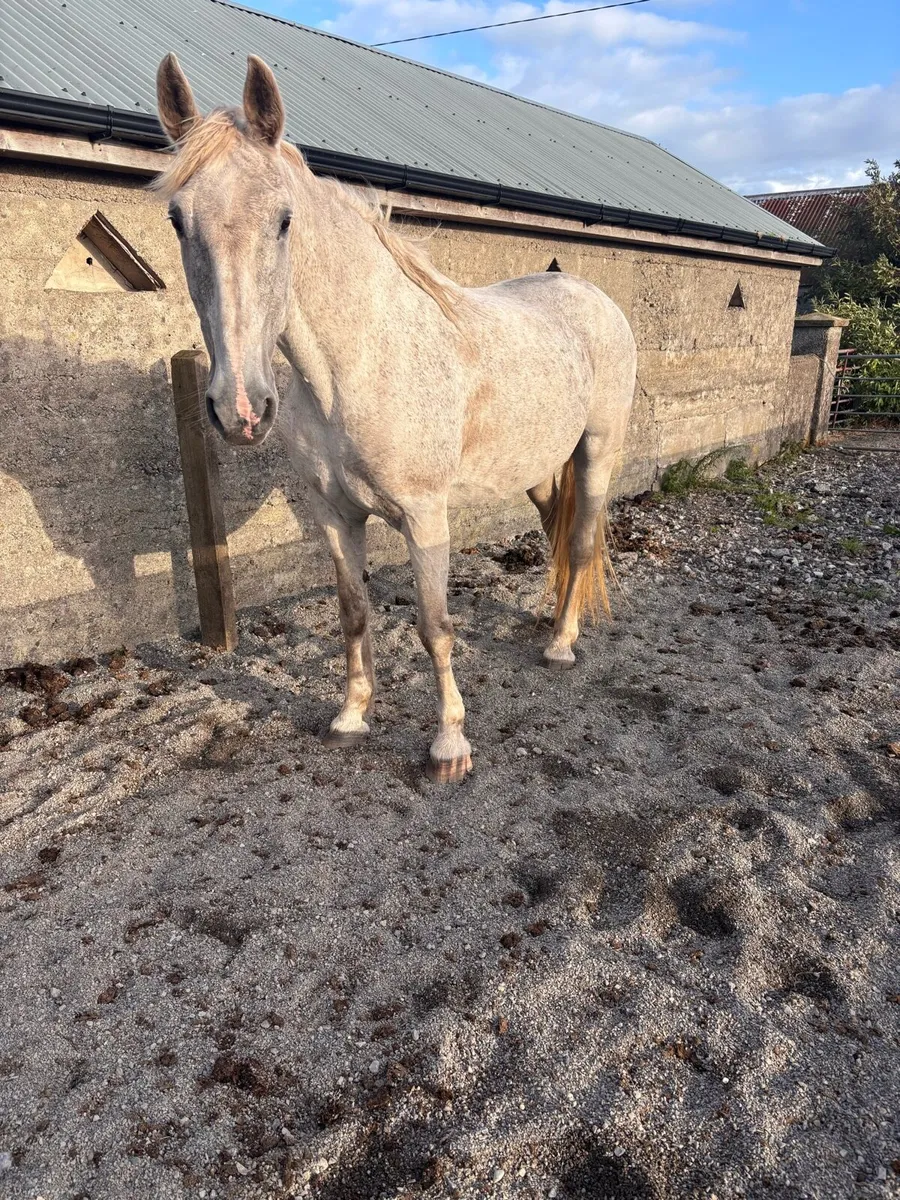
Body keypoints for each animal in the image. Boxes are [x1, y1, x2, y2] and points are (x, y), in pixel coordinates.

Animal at [154, 54, 637, 783]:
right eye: (179, 219)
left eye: (284, 220)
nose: (241, 408)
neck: (358, 364)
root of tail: (591, 295)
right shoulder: (333, 513)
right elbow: (354, 612)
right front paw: (351, 717)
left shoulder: (424, 515)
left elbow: (434, 626)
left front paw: (450, 746)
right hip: (537, 466)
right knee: (556, 528)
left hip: (597, 451)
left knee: (579, 542)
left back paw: (561, 643)